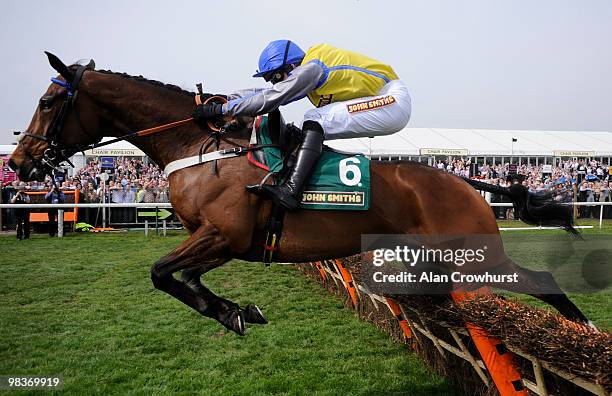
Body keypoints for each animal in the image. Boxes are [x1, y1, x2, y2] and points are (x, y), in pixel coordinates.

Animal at [9, 54, 592, 334]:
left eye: (46, 101)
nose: (18, 163)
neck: (198, 145)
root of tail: (466, 184)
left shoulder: (226, 234)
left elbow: (160, 272)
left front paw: (232, 311)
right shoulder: (219, 240)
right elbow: (179, 278)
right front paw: (234, 311)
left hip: (476, 256)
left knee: (540, 282)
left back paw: (584, 332)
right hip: (439, 265)